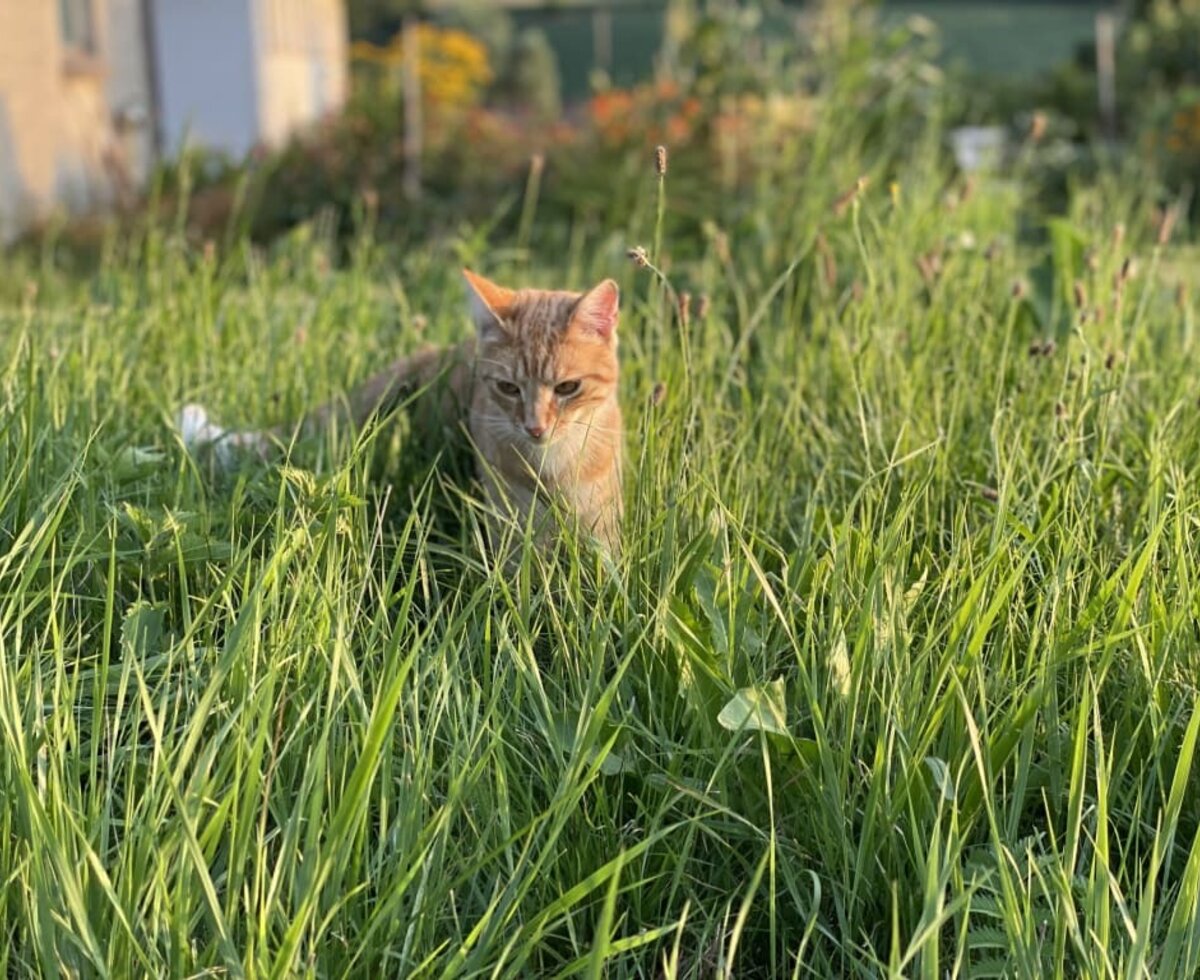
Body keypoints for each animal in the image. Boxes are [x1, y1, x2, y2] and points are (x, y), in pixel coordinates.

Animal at [184, 269, 628, 551]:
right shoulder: (511, 518)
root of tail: (433, 353)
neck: (551, 464)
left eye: (568, 388)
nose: (535, 428)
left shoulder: (601, 517)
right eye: (508, 388)